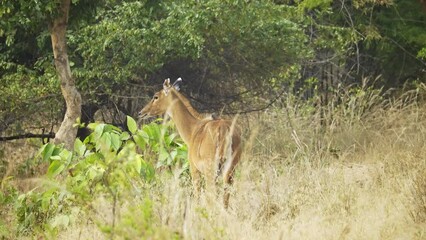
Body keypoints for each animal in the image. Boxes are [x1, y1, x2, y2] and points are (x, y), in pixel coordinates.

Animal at [138, 77, 241, 208]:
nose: (141, 112)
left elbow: (197, 196)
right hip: (229, 171)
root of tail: (223, 129)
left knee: (211, 198)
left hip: (211, 170)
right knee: (225, 199)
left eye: (156, 96)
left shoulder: (194, 169)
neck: (194, 129)